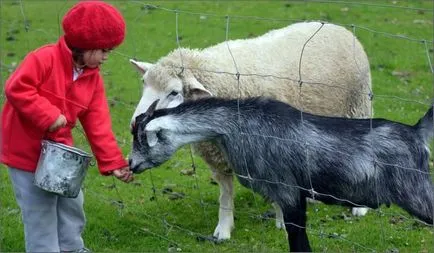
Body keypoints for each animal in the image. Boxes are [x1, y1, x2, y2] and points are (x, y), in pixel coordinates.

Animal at [129, 21, 372, 239]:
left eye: (173, 92)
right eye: (144, 83)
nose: (135, 123)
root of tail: (335, 26)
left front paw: (282, 222)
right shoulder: (218, 155)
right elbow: (226, 192)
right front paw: (223, 229)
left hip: (358, 106)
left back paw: (359, 206)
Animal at [129, 96, 434, 251]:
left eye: (142, 139)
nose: (131, 164)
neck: (238, 125)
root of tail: (416, 133)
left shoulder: (289, 192)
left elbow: (297, 240)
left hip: (417, 193)